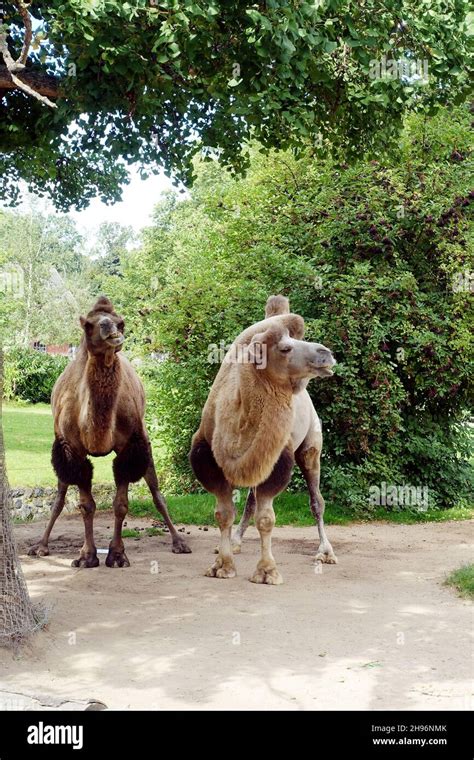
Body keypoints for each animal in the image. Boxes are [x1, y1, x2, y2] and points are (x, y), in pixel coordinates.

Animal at [27, 296, 190, 564]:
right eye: (88, 324)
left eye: (121, 322)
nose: (110, 329)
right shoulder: (73, 449)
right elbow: (86, 504)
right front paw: (86, 556)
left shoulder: (129, 446)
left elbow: (121, 504)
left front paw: (116, 554)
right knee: (59, 497)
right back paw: (41, 546)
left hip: (145, 444)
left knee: (157, 493)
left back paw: (179, 542)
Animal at [190, 294, 336, 584]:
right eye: (285, 348)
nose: (326, 354)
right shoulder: (210, 462)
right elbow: (224, 514)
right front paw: (222, 565)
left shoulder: (278, 457)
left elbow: (266, 518)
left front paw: (267, 571)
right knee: (250, 500)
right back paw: (236, 541)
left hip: (311, 445)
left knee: (316, 500)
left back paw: (325, 552)